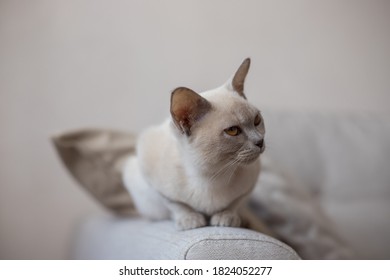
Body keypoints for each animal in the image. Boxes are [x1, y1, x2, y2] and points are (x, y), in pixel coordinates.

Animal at [123, 58, 270, 231]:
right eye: (233, 131)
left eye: (257, 120)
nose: (260, 142)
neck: (213, 175)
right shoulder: (154, 182)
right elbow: (176, 205)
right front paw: (191, 221)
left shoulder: (249, 186)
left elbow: (235, 204)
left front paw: (225, 217)